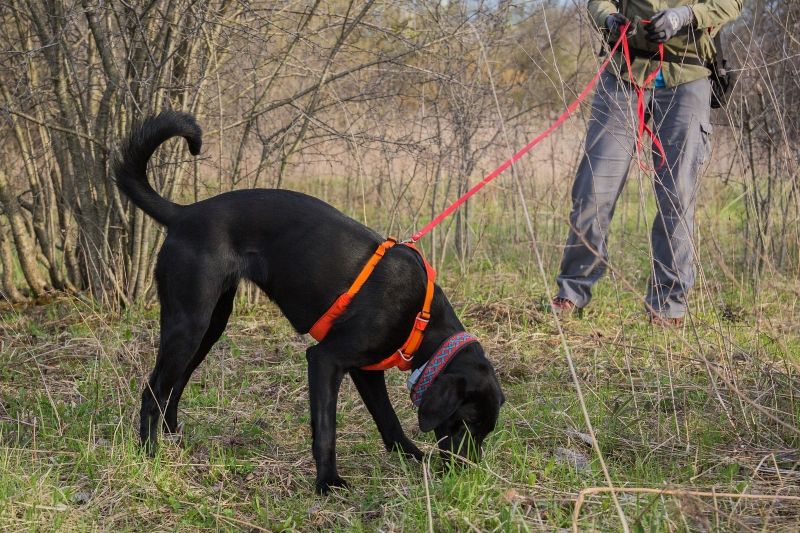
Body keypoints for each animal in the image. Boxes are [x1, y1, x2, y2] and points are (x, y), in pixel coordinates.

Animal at [115, 110, 504, 492]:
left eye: (486, 430)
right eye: (466, 421)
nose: (465, 473)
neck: (422, 321)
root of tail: (183, 214)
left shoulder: (364, 370)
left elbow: (387, 418)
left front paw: (411, 456)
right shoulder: (325, 359)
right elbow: (327, 428)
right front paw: (327, 481)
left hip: (211, 325)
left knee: (175, 384)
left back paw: (173, 438)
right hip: (189, 323)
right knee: (153, 391)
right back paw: (150, 454)